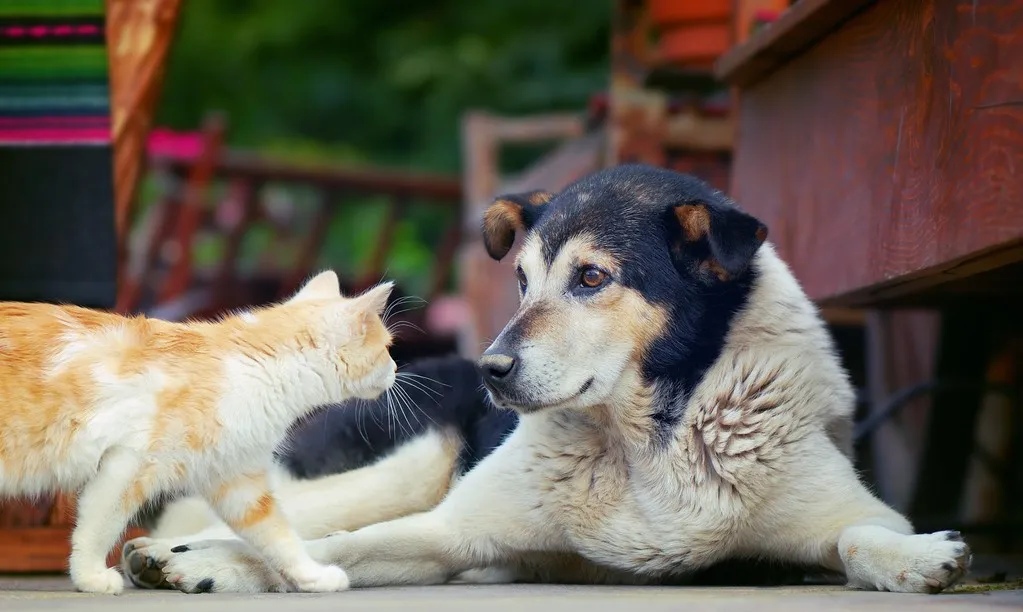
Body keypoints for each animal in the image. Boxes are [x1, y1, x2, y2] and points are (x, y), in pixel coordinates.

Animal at [0, 270, 394, 593]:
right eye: (388, 347)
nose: (395, 368)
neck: (254, 366)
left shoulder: (239, 482)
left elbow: (278, 536)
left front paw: (312, 576)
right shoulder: (127, 466)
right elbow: (99, 526)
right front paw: (90, 576)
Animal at [117, 164, 965, 593]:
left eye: (591, 278)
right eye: (521, 281)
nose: (493, 369)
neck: (646, 444)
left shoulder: (851, 512)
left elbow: (859, 535)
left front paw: (920, 560)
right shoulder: (446, 530)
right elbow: (326, 547)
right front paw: (209, 565)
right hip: (411, 461)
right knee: (232, 513)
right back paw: (169, 553)